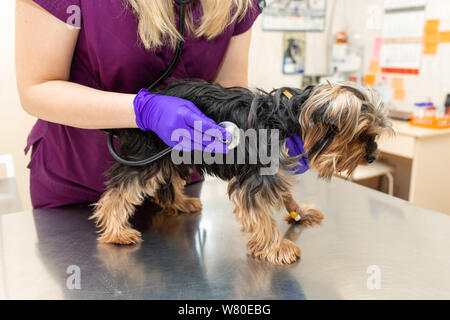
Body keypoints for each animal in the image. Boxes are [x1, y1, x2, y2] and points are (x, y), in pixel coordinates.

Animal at [91, 80, 390, 264]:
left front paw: (299, 211)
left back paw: (180, 202)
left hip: (178, 150)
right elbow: (260, 215)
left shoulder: (274, 170)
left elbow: (285, 193)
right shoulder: (255, 178)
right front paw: (277, 247)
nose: (372, 156)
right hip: (151, 151)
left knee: (170, 179)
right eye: (362, 134)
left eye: (373, 134)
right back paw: (117, 231)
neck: (290, 119)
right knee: (122, 188)